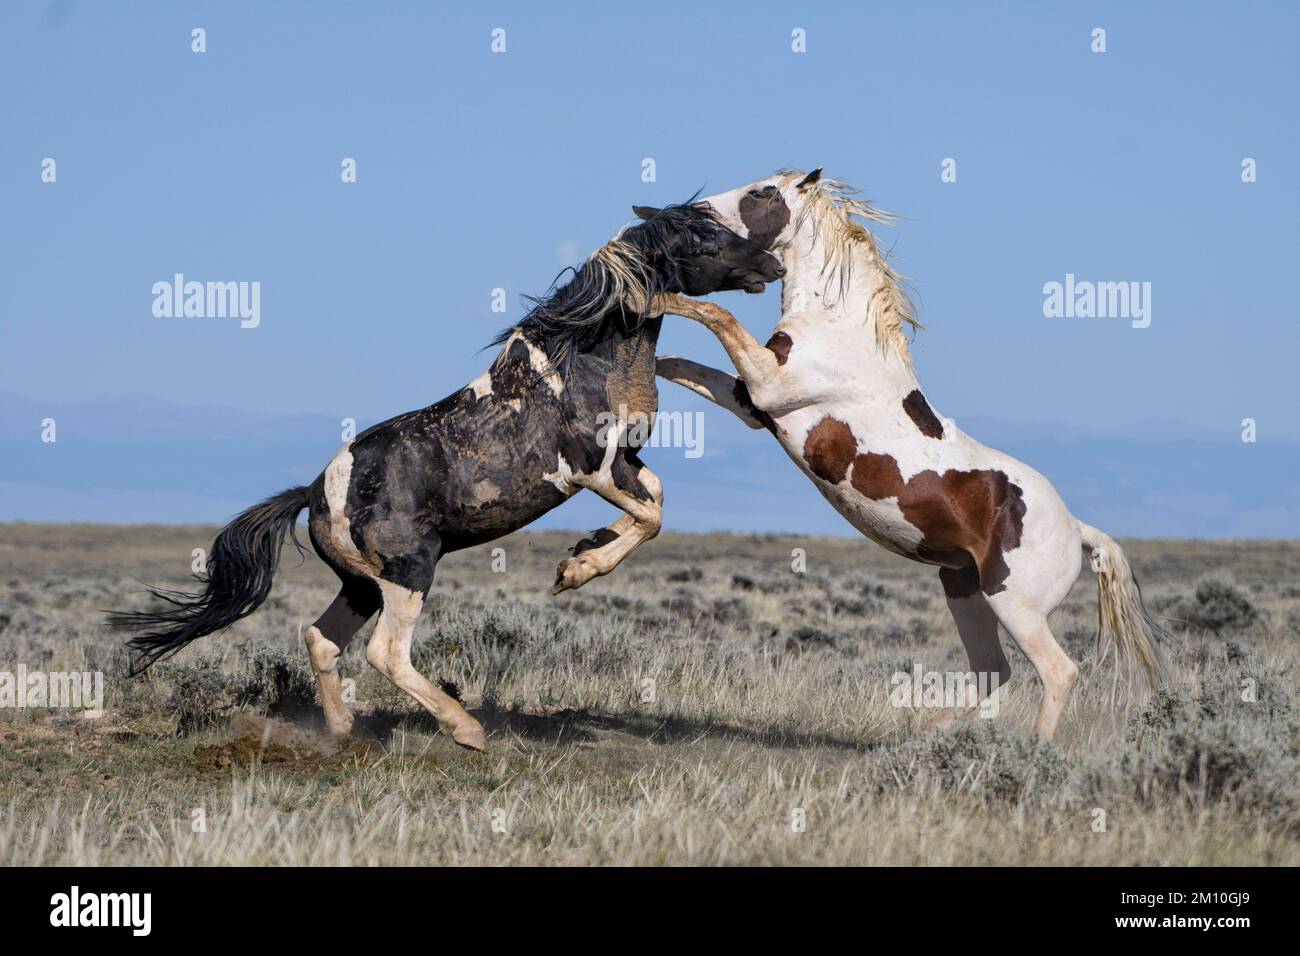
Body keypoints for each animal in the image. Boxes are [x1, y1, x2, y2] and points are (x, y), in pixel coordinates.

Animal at [110, 201, 783, 751]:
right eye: (704, 239)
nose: (773, 264)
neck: (583, 359)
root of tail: (314, 494)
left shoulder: (625, 462)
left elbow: (655, 502)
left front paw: (578, 554)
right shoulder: (589, 470)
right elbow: (651, 516)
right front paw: (576, 569)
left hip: (363, 585)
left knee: (320, 640)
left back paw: (346, 734)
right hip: (411, 570)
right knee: (384, 652)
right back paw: (466, 731)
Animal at [650, 169, 1165, 739]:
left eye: (762, 192)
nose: (691, 212)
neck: (839, 327)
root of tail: (1077, 530)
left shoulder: (768, 385)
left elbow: (713, 312)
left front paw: (653, 298)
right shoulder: (751, 401)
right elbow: (683, 365)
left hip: (1015, 604)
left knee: (1058, 671)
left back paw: (1033, 749)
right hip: (962, 588)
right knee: (992, 669)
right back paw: (924, 736)